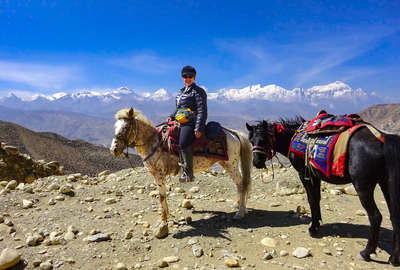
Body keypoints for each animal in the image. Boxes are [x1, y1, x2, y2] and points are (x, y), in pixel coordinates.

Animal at [245, 118, 400, 266]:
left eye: (263, 139)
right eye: (251, 140)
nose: (257, 162)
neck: (292, 137)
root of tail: (382, 142)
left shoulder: (304, 175)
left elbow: (312, 199)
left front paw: (313, 228)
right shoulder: (316, 175)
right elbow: (317, 198)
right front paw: (318, 222)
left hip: (363, 187)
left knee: (375, 216)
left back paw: (366, 253)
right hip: (385, 183)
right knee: (394, 216)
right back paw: (393, 258)